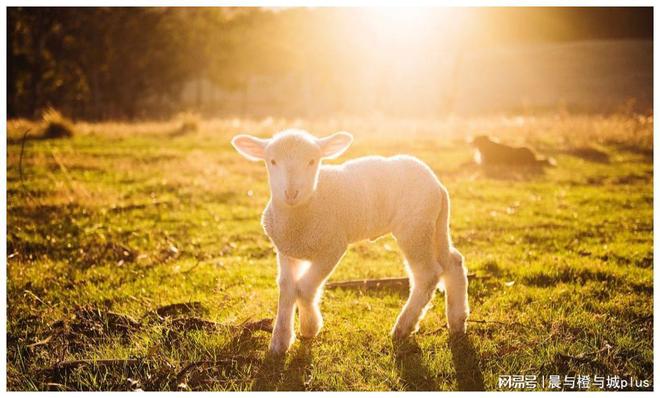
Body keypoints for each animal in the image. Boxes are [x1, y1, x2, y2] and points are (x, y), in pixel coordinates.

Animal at [232, 130, 470, 354]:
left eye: (312, 161)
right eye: (272, 161)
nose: (291, 193)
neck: (303, 212)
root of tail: (438, 185)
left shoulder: (332, 247)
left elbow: (304, 288)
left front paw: (310, 327)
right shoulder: (286, 250)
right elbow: (287, 288)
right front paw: (280, 341)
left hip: (415, 228)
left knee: (427, 275)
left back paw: (403, 327)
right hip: (434, 225)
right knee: (453, 262)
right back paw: (457, 321)